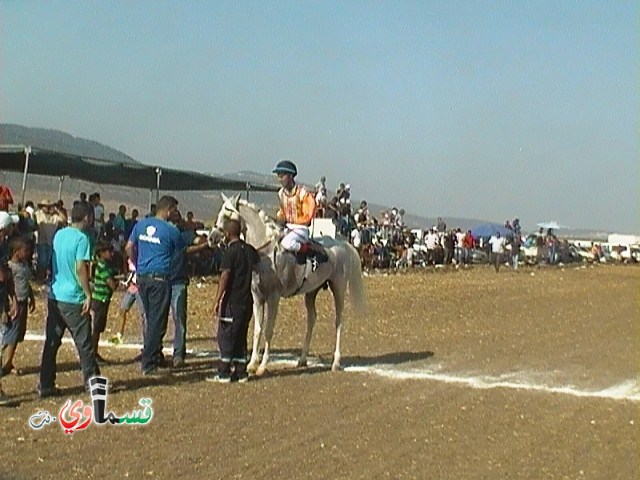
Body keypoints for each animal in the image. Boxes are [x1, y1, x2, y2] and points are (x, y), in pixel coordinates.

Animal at [210, 194, 364, 376]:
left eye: (227, 215)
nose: (211, 237)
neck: (265, 252)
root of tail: (343, 244)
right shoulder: (257, 297)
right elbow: (257, 330)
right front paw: (252, 363)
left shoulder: (273, 298)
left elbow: (268, 330)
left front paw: (262, 366)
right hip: (311, 292)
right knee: (311, 320)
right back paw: (302, 359)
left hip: (338, 288)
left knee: (339, 322)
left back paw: (336, 362)